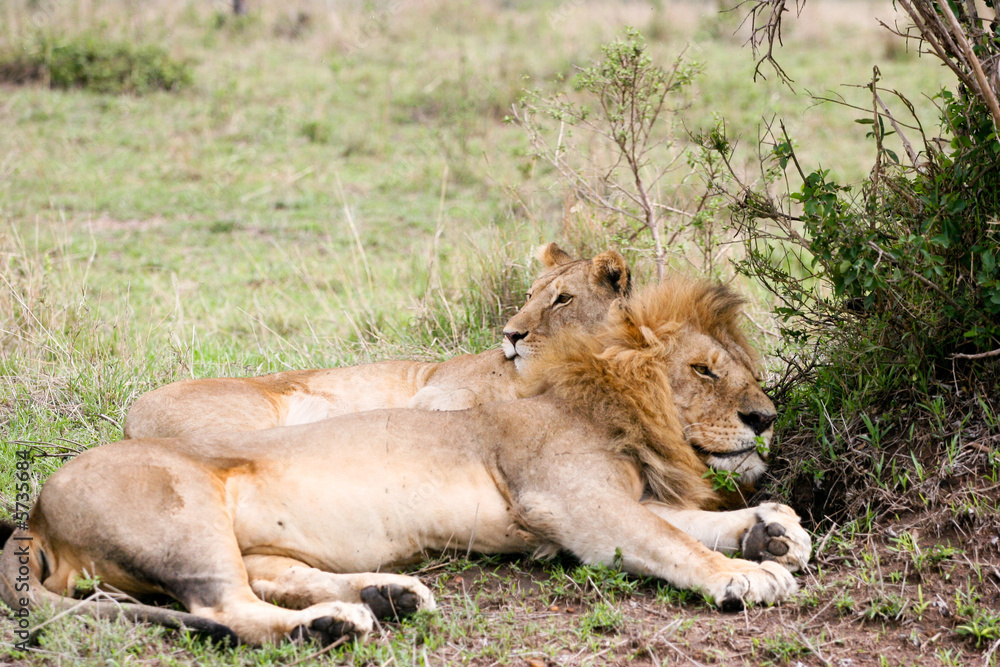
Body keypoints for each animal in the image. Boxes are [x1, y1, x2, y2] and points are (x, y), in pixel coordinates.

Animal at [0, 277, 812, 648]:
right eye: (704, 371)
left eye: (744, 368)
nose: (765, 417)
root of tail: (35, 512)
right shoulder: (573, 503)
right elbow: (671, 540)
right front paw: (746, 574)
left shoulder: (611, 500)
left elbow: (688, 520)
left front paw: (773, 530)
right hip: (182, 510)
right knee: (226, 609)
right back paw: (331, 625)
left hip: (239, 538)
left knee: (266, 579)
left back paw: (388, 596)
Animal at [122, 242, 630, 439]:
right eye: (528, 295)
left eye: (562, 299)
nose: (510, 334)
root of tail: (129, 417)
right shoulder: (434, 389)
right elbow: (460, 403)